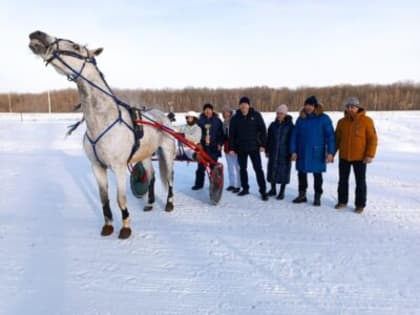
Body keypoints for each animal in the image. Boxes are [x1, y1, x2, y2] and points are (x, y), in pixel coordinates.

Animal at [27, 31, 176, 239]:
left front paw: (126, 227)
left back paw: (169, 203)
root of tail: (164, 116)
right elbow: (104, 198)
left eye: (75, 46)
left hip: (167, 152)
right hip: (145, 155)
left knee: (169, 177)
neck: (103, 121)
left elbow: (120, 199)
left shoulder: (119, 167)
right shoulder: (97, 166)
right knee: (152, 176)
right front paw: (108, 226)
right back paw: (149, 203)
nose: (37, 34)